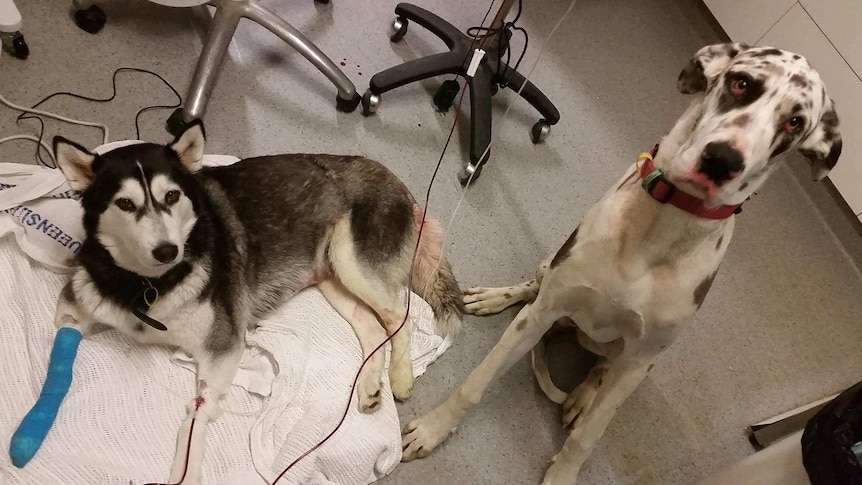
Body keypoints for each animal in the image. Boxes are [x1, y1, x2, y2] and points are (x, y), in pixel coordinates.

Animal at [51, 122, 462, 484]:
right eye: (124, 203)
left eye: (171, 196)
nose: (168, 251)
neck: (149, 285)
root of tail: (398, 182)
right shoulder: (74, 306)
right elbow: (62, 339)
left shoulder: (223, 349)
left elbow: (194, 422)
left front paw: (186, 474)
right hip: (333, 276)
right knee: (373, 327)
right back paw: (370, 386)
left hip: (353, 262)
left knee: (399, 315)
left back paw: (400, 376)